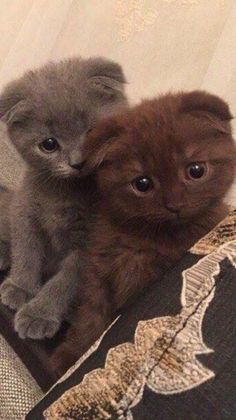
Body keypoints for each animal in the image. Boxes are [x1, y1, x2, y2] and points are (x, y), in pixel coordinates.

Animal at [0, 55, 127, 340]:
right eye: (49, 144)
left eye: (93, 132)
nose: (77, 162)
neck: (63, 195)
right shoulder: (24, 211)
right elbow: (26, 250)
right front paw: (20, 287)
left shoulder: (91, 244)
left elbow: (66, 281)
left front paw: (38, 314)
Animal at [51, 90, 236, 372]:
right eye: (142, 184)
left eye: (196, 170)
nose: (174, 205)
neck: (145, 238)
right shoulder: (98, 273)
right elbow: (90, 319)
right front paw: (69, 358)